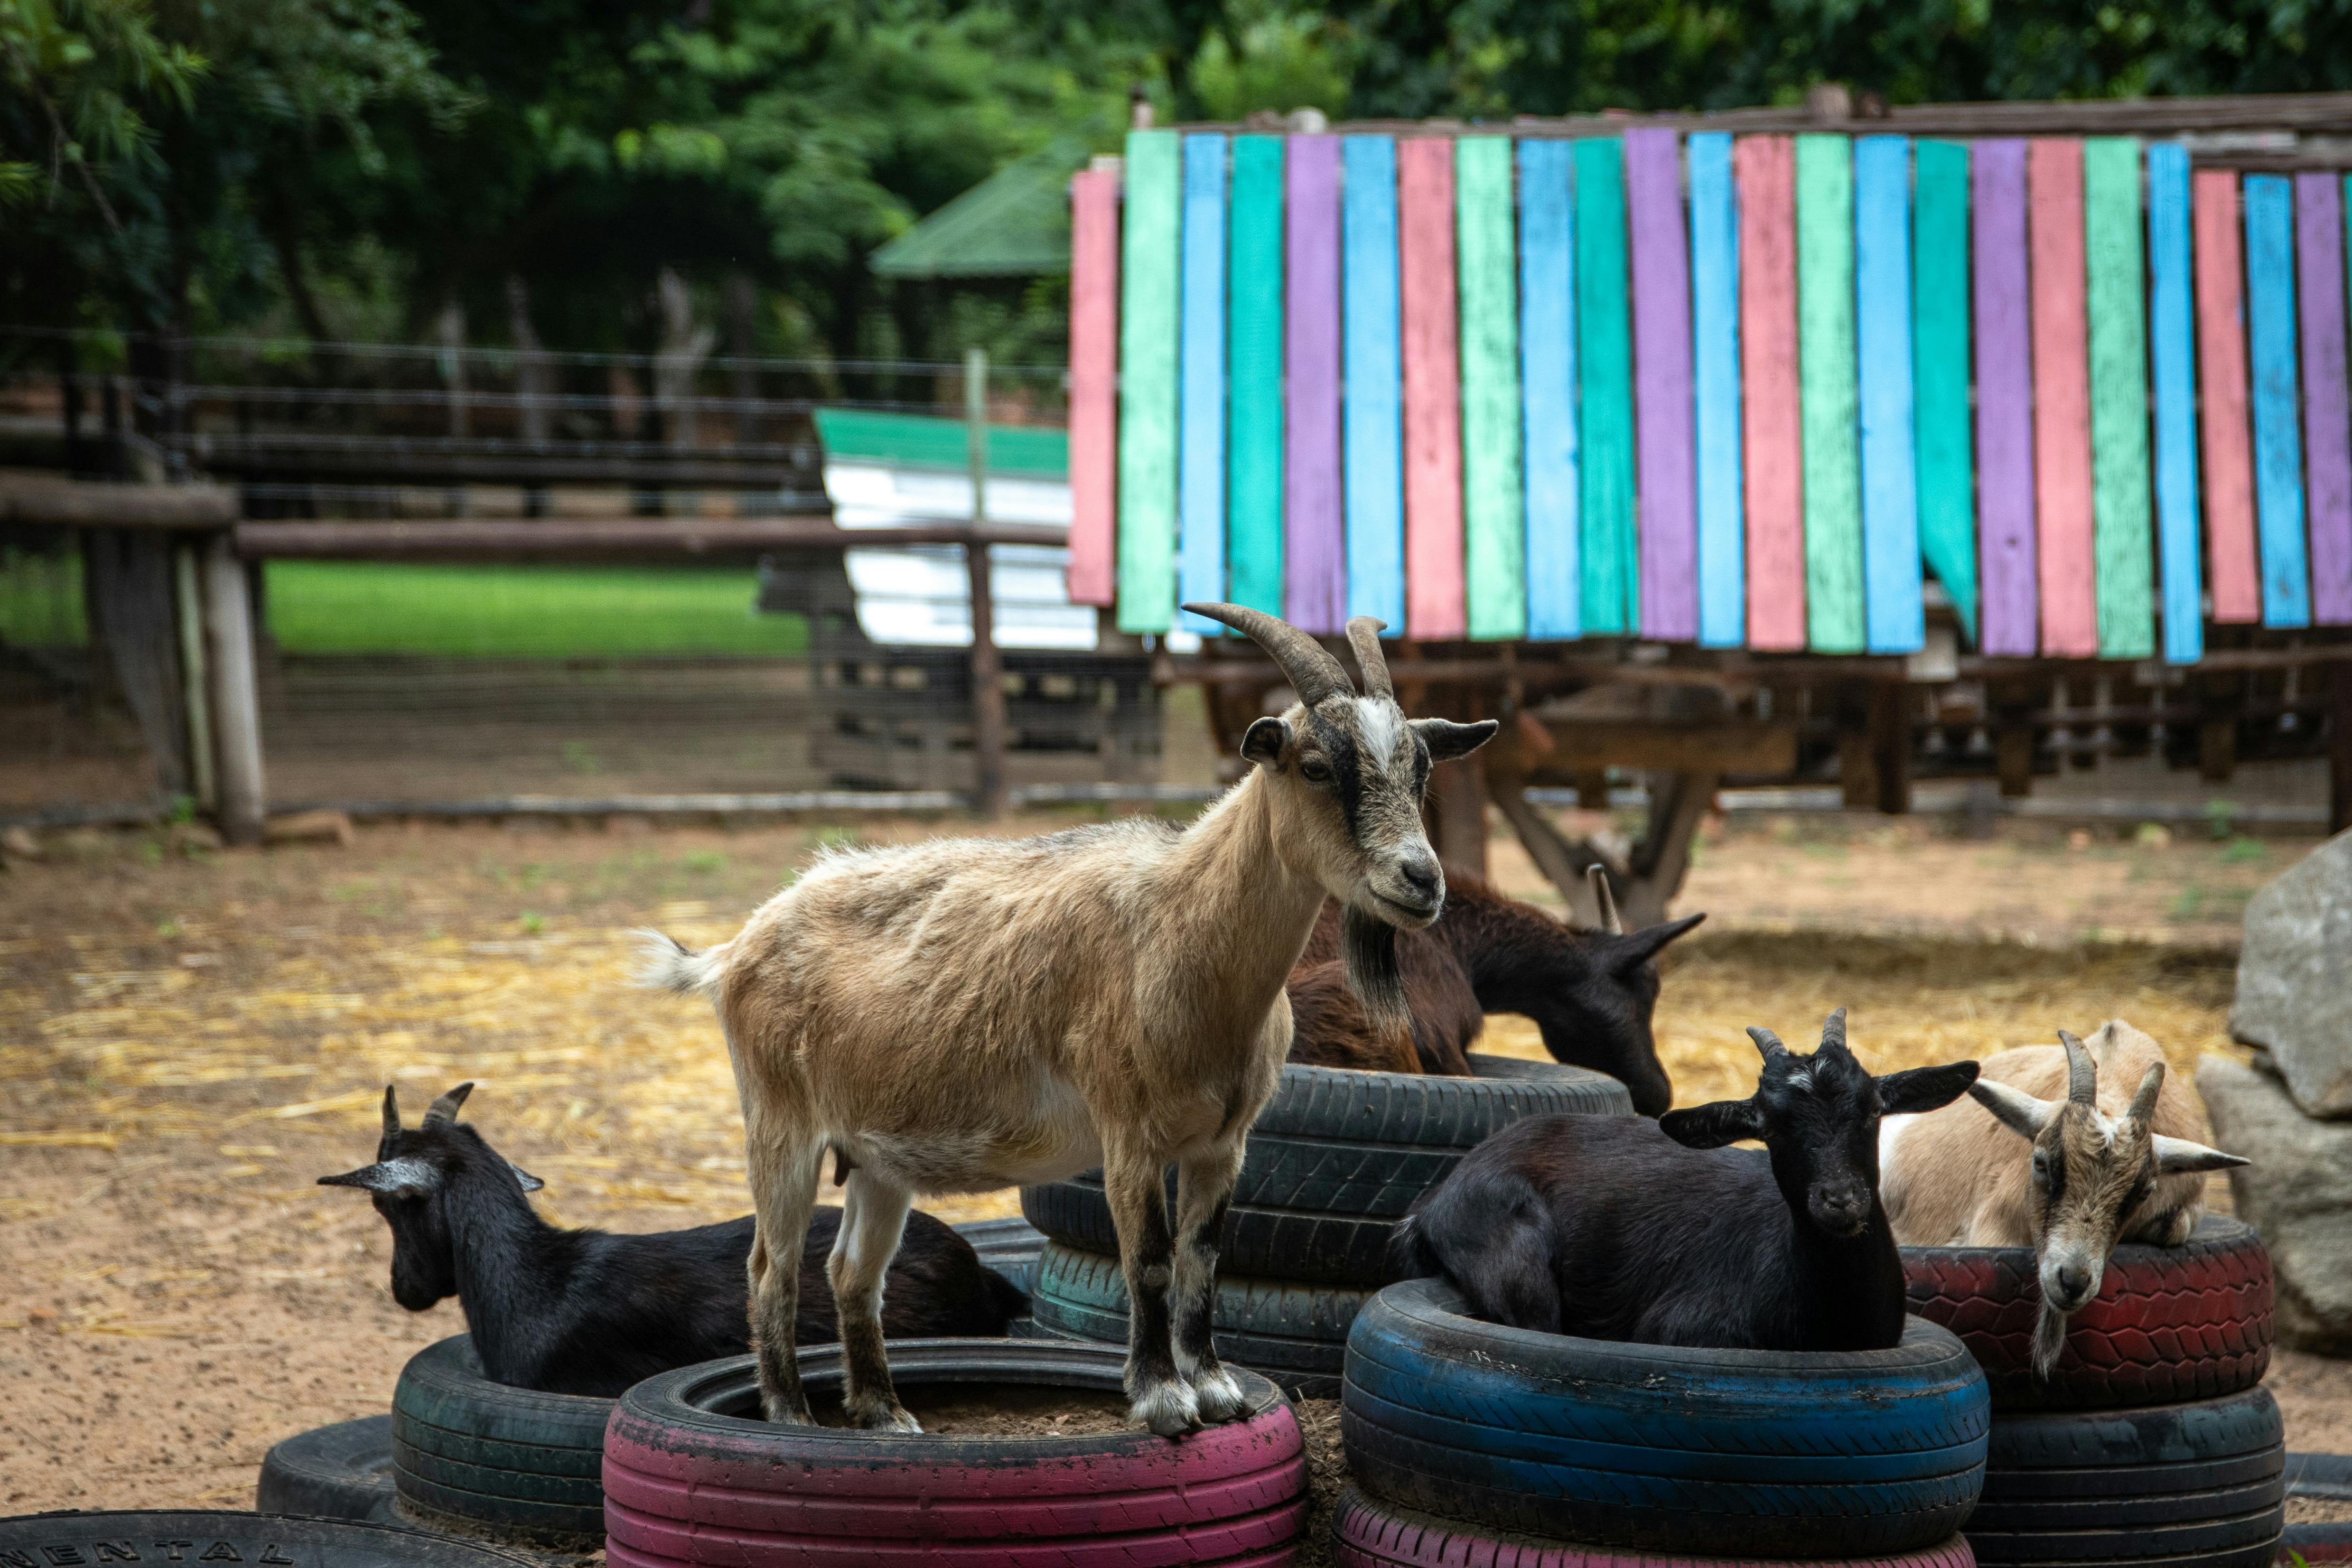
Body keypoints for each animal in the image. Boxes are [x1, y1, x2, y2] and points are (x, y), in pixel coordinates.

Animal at [638, 604, 1496, 1436]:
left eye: (1420, 767)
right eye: (1316, 767)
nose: (1420, 880)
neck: (1181, 929)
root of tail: (736, 945)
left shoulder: (1224, 1143)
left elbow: (1204, 1256)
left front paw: (1217, 1388)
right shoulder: (1128, 1132)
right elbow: (1149, 1258)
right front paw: (1163, 1399)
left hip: (878, 1156)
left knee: (851, 1269)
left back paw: (884, 1412)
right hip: (778, 1120)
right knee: (771, 1265)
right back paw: (788, 1411)